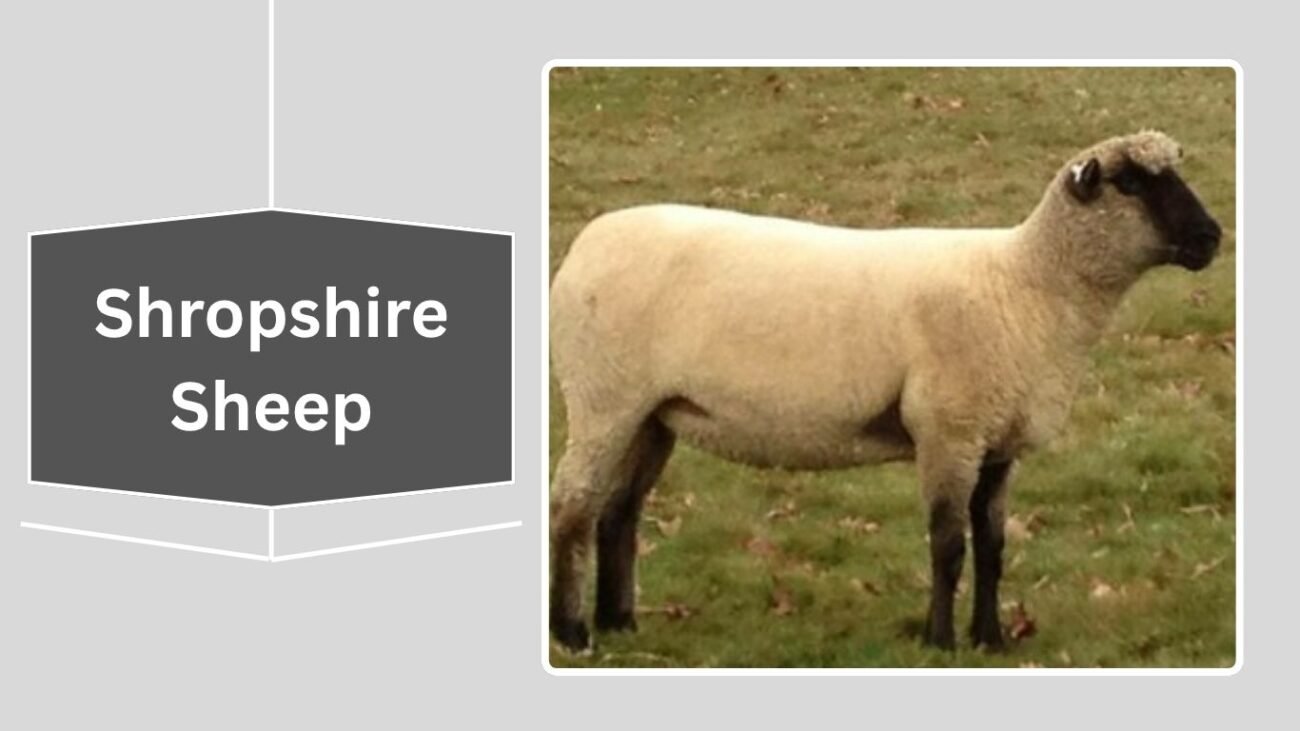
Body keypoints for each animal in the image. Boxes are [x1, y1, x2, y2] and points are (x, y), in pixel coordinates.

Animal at [548, 130, 1223, 652]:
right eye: (1129, 183)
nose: (1211, 238)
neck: (1025, 284)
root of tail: (586, 243)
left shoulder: (996, 440)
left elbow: (993, 544)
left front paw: (991, 639)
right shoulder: (948, 430)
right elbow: (949, 543)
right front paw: (940, 641)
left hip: (653, 413)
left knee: (618, 512)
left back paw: (620, 623)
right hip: (602, 398)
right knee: (571, 507)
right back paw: (573, 633)